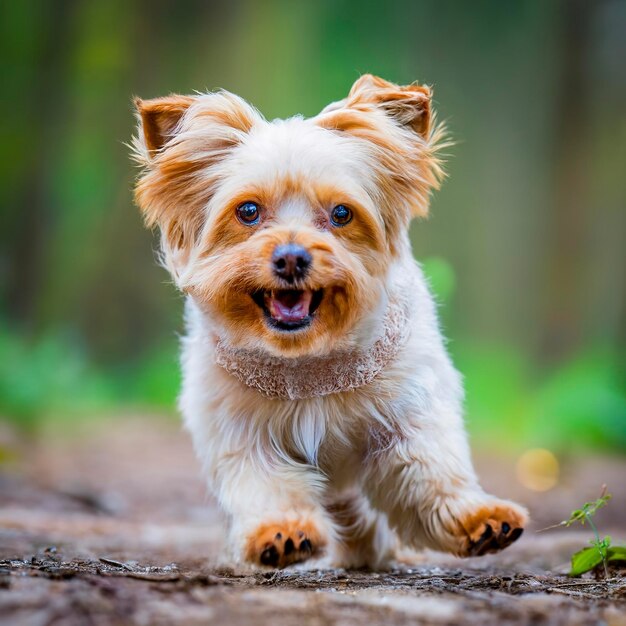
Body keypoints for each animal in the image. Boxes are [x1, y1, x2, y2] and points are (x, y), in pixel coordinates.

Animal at [132, 73, 528, 564]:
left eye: (342, 213)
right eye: (248, 211)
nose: (291, 257)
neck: (307, 360)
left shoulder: (409, 409)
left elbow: (429, 468)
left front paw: (477, 519)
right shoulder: (238, 429)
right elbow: (265, 483)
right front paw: (281, 533)